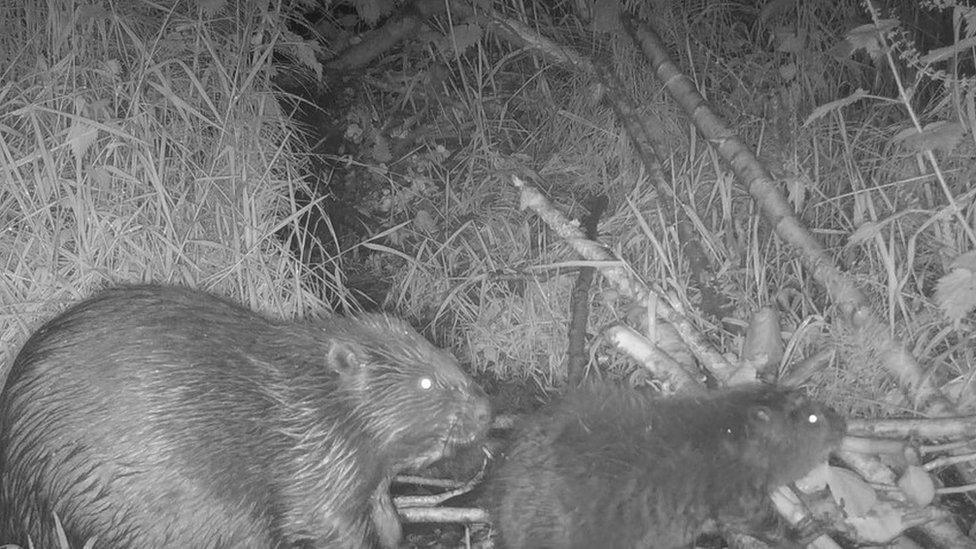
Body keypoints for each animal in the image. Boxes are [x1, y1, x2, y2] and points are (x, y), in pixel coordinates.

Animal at [0, 284, 488, 544]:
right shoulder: (315, 463)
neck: (311, 400)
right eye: (425, 383)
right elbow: (329, 523)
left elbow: (383, 514)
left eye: (447, 354)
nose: (485, 411)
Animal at [488, 384, 848, 544]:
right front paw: (807, 529)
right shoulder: (731, 484)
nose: (844, 423)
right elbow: (752, 518)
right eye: (813, 419)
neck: (723, 434)